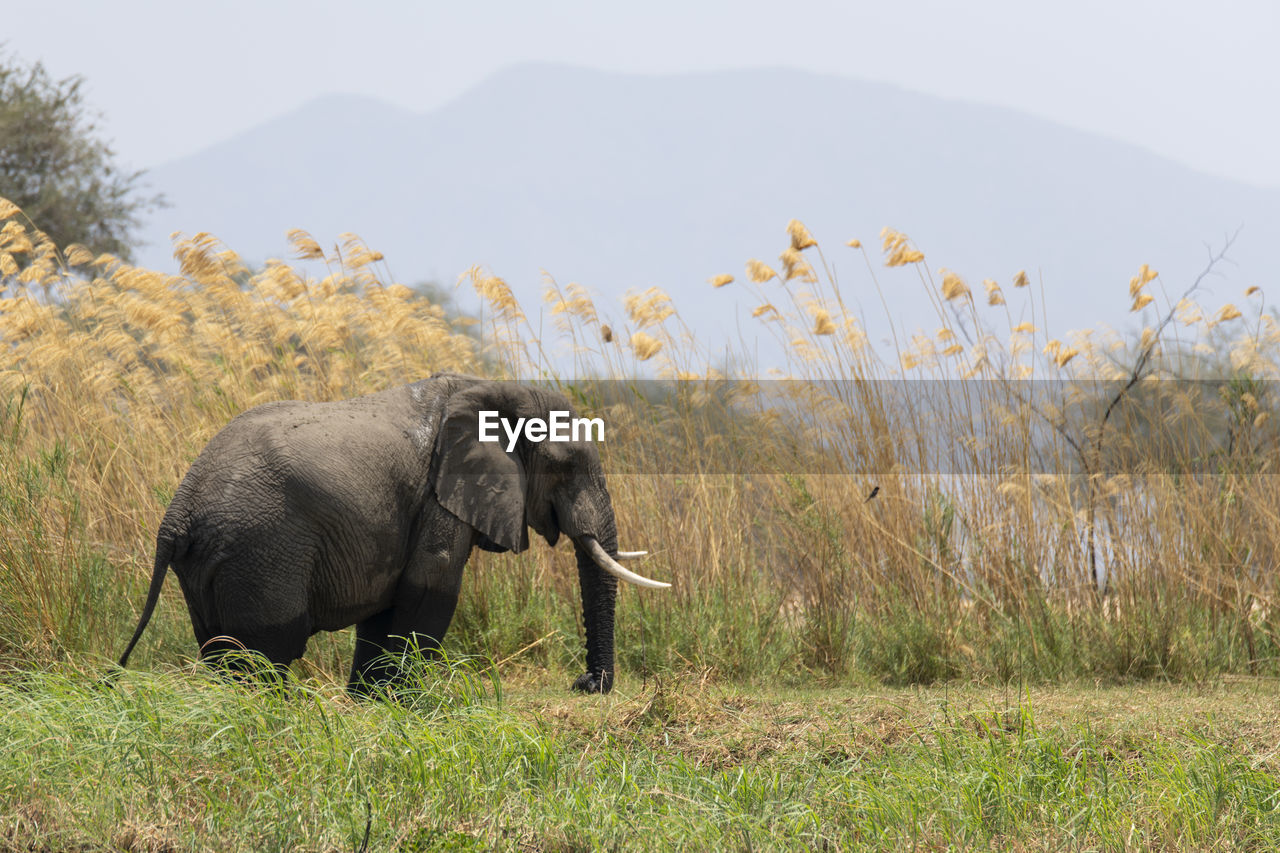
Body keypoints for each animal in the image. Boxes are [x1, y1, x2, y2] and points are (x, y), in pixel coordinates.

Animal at [117, 371, 670, 691]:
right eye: (566, 464)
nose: (584, 683)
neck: (490, 387)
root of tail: (176, 513)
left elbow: (387, 608)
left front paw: (369, 702)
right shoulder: (440, 496)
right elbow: (431, 587)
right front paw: (398, 705)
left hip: (215, 561)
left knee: (221, 649)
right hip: (259, 548)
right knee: (267, 651)